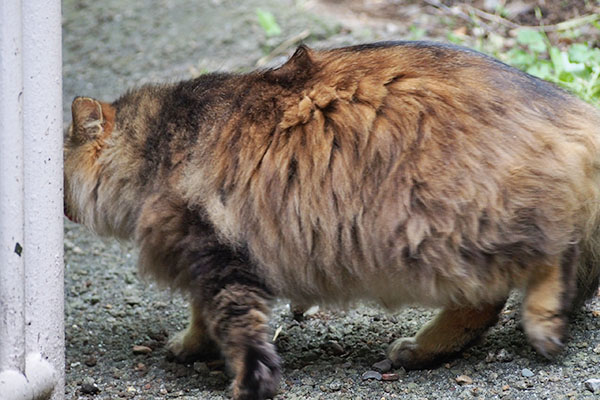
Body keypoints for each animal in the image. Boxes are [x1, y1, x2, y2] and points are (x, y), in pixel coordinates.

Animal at [63, 41, 600, 400]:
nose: (62, 208)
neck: (157, 143)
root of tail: (574, 111)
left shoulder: (213, 245)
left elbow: (235, 325)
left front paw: (245, 381)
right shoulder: (212, 255)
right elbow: (204, 315)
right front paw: (192, 345)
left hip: (440, 228)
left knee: (544, 261)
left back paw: (541, 323)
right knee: (489, 299)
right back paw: (424, 351)